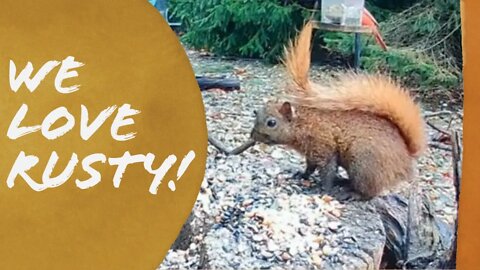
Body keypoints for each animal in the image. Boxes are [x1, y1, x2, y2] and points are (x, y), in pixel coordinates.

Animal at [249, 21, 426, 198]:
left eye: (271, 122)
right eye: (256, 114)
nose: (252, 136)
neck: (303, 124)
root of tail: (407, 158)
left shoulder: (323, 147)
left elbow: (327, 171)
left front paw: (324, 190)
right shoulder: (311, 154)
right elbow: (310, 167)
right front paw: (302, 175)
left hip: (363, 164)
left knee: (370, 191)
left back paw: (353, 193)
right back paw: (344, 182)